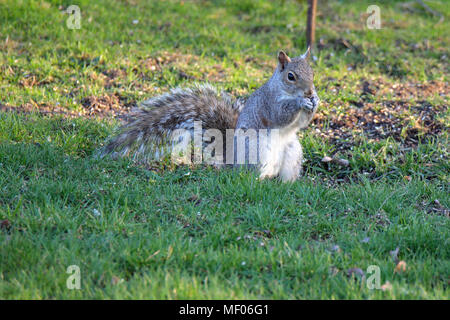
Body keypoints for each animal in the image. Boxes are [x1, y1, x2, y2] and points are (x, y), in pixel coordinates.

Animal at [101, 48, 320, 182]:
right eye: (291, 76)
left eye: (312, 73)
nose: (310, 91)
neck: (284, 90)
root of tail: (233, 164)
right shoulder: (269, 103)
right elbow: (281, 115)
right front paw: (301, 102)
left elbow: (301, 123)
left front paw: (316, 101)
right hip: (257, 150)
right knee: (253, 175)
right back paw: (259, 181)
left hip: (292, 153)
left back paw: (285, 184)